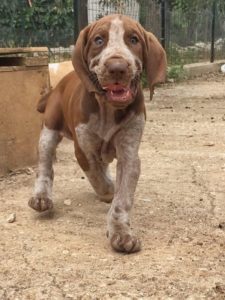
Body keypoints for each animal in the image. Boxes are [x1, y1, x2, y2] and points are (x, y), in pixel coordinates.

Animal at [28, 14, 167, 253]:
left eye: (133, 39)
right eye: (99, 40)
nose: (117, 67)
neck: (108, 109)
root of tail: (58, 86)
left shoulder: (129, 153)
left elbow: (122, 196)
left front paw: (121, 232)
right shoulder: (84, 149)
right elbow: (99, 179)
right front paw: (108, 193)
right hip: (49, 131)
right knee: (45, 167)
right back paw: (42, 196)